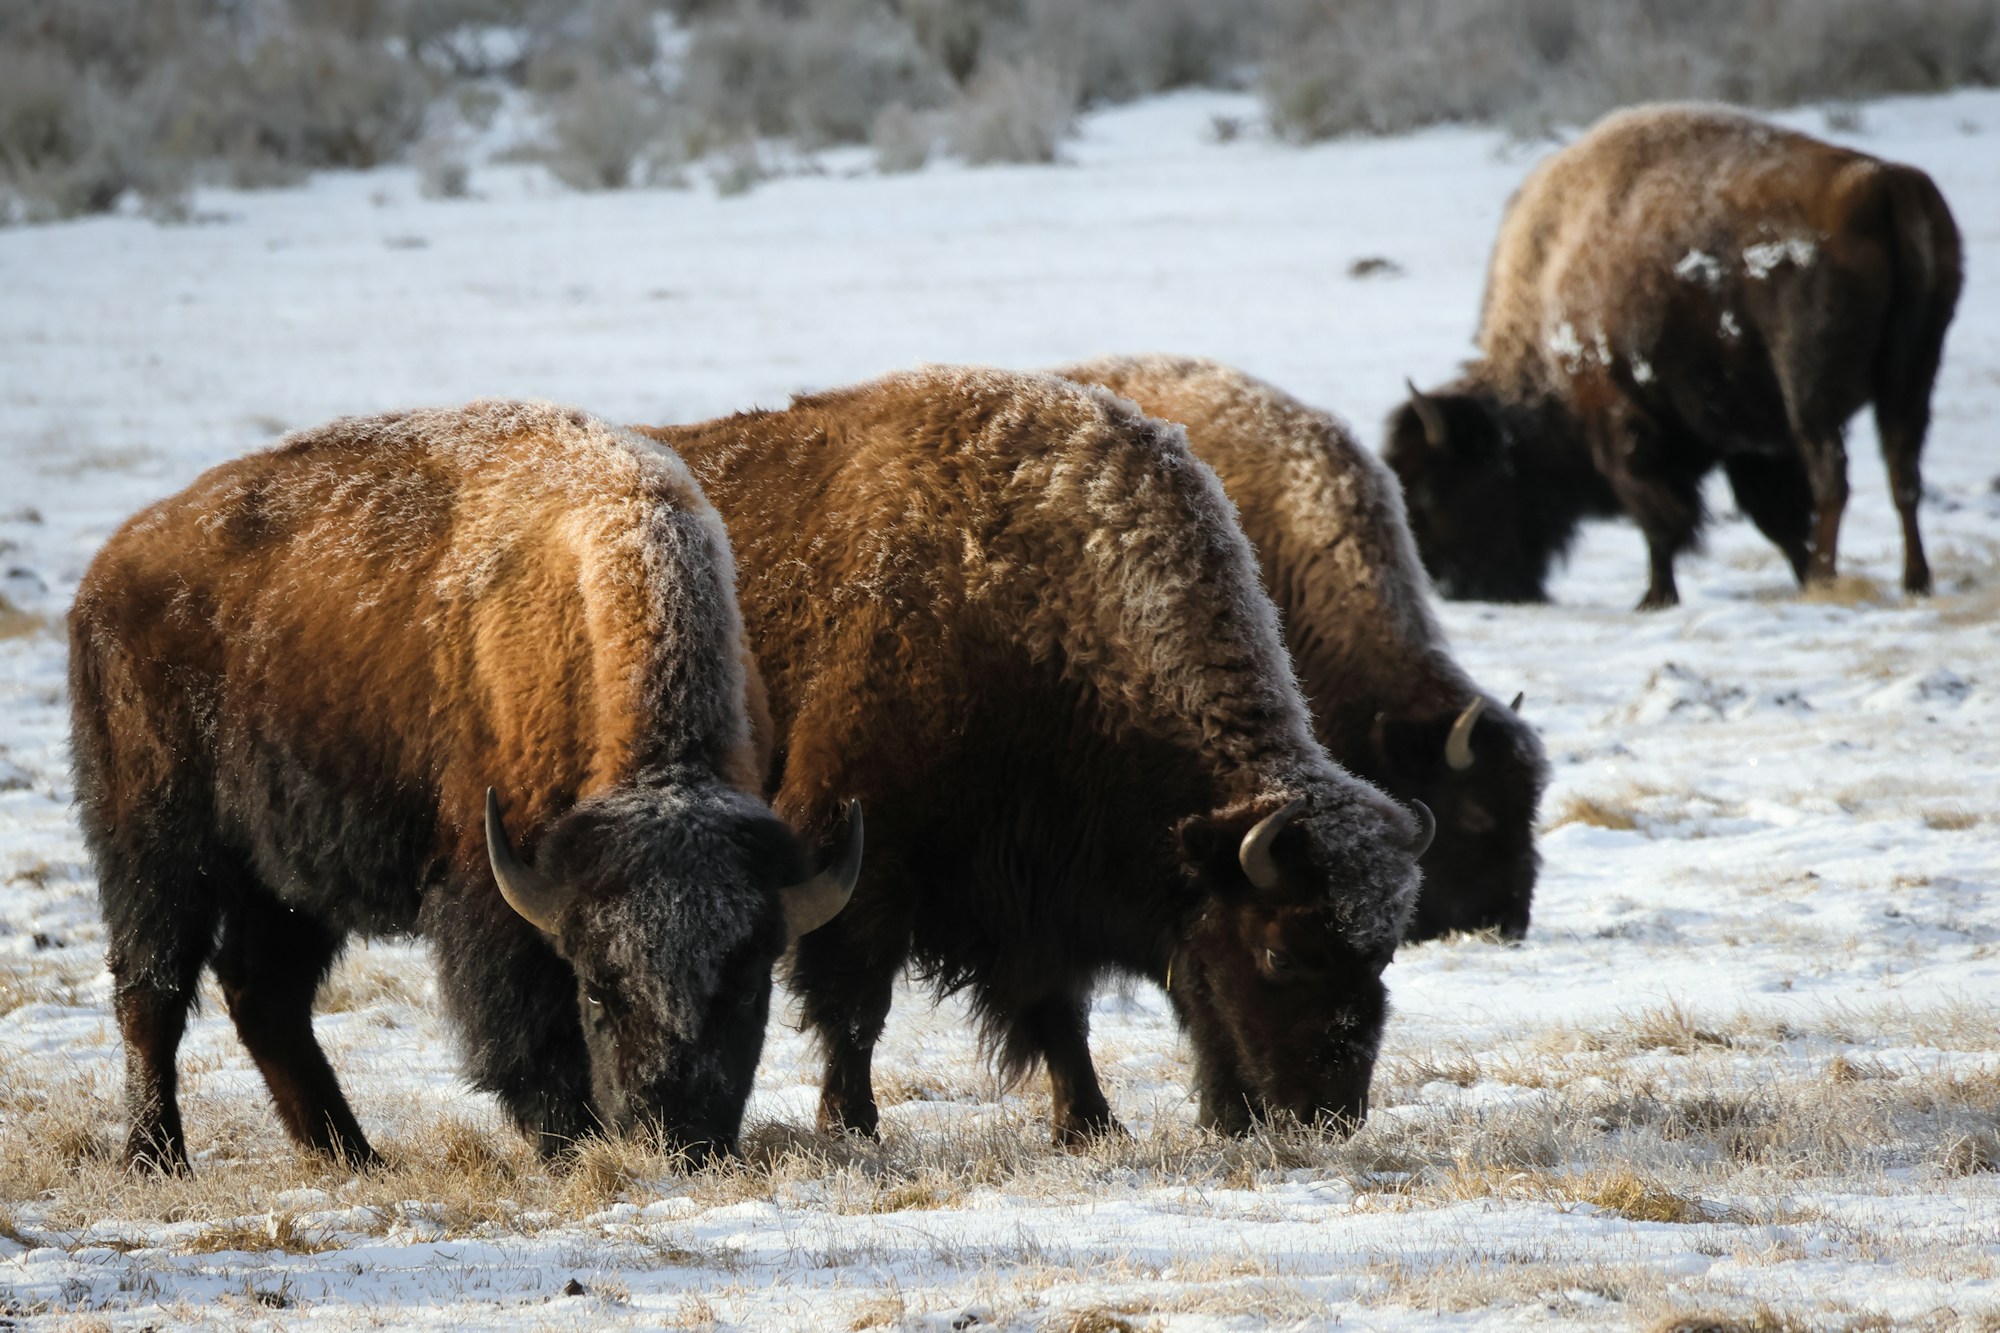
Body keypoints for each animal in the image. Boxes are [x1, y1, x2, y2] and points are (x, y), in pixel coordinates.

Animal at [69, 401, 859, 1172]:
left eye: (750, 988)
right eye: (599, 989)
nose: (679, 1138)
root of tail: (110, 568)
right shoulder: (494, 893)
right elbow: (529, 1034)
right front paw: (568, 1144)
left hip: (288, 877)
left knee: (263, 993)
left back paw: (352, 1156)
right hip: (155, 843)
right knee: (152, 990)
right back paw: (157, 1158)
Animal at [640, 366, 1432, 1144]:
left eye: (1384, 955)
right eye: (1277, 952)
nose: (1330, 1113)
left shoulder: (1043, 889)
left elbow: (1059, 1013)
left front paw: (1091, 1124)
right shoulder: (862, 854)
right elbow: (858, 1003)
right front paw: (851, 1123)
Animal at [1386, 103, 1962, 610]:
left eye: (1433, 492)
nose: (1449, 587)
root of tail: (1883, 184)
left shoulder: (1625, 425)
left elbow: (1660, 518)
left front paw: (1655, 597)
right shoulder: (1749, 441)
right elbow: (1771, 516)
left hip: (1810, 392)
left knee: (1832, 478)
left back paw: (1827, 578)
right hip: (1914, 376)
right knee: (1902, 472)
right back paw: (1913, 581)